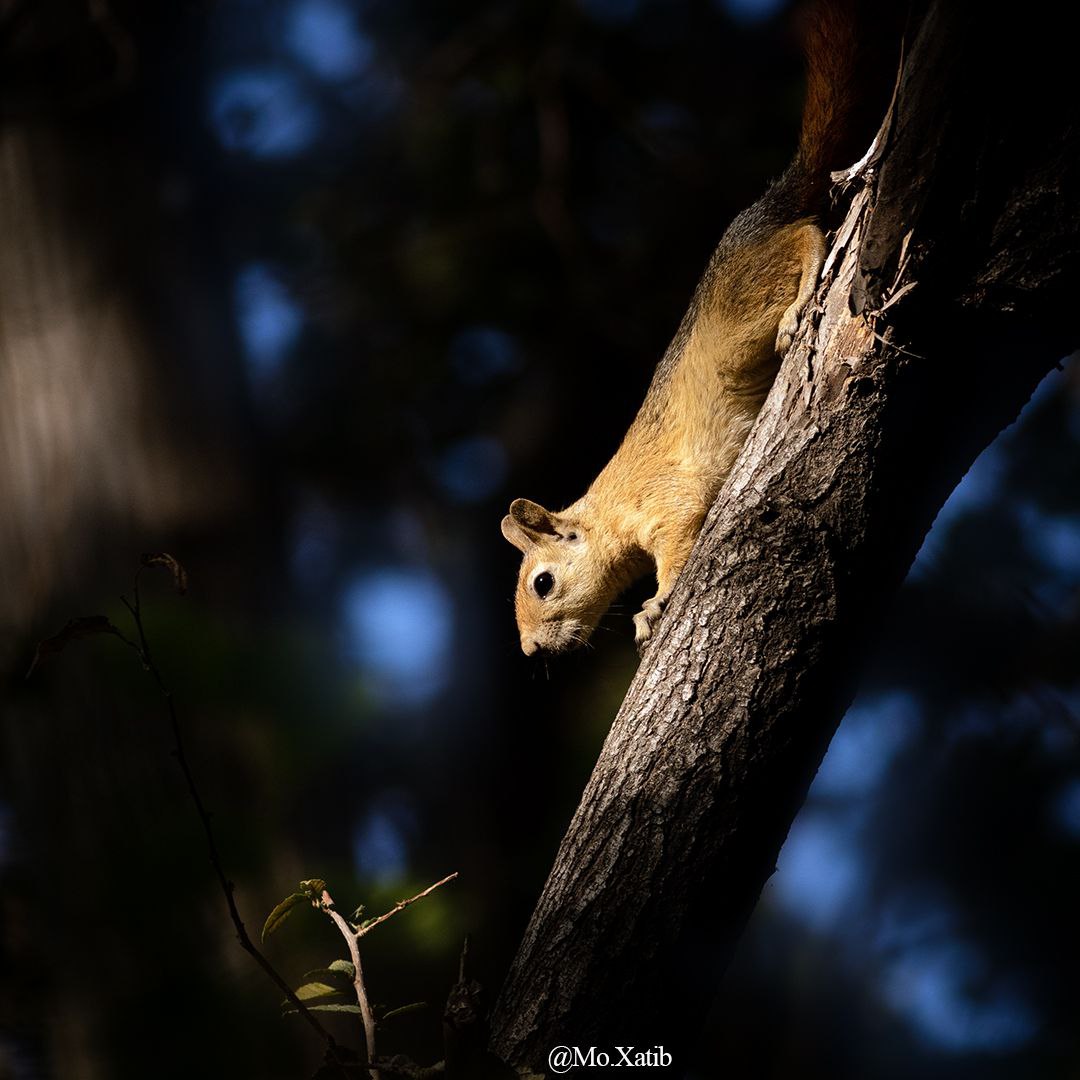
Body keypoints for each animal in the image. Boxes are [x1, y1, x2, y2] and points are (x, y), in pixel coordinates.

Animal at [501, 2, 881, 656]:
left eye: (542, 583)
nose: (531, 652)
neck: (609, 510)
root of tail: (758, 219)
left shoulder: (667, 502)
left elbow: (679, 546)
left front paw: (653, 607)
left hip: (744, 317)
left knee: (808, 235)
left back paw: (801, 301)